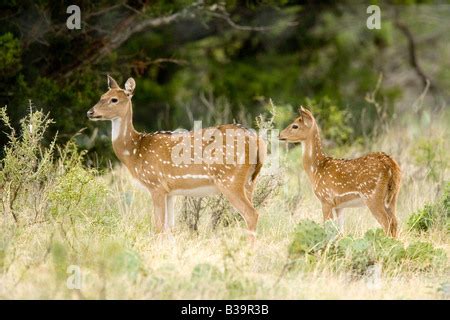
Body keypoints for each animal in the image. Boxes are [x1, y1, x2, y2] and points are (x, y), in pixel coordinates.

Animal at [86, 75, 266, 238]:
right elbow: (170, 227)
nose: (90, 112)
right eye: (101, 96)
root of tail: (257, 140)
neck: (135, 152)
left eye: (114, 99)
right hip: (250, 181)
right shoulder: (170, 191)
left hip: (230, 180)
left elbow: (158, 226)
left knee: (251, 214)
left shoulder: (155, 184)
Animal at [282, 107, 400, 238]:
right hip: (393, 196)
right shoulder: (339, 206)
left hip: (372, 195)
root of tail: (391, 164)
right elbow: (340, 231)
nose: (280, 134)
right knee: (395, 222)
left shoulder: (326, 199)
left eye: (295, 126)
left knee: (387, 223)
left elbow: (328, 228)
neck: (316, 170)